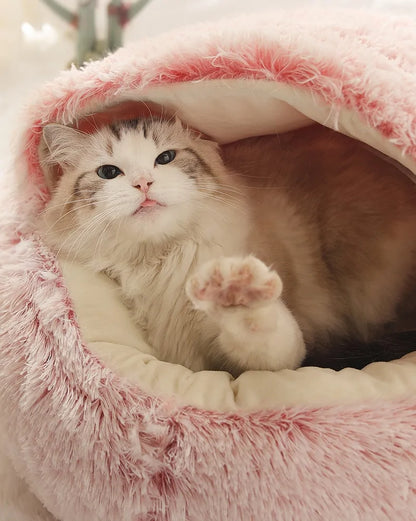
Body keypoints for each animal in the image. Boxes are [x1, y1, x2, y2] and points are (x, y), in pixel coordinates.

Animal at [38, 117, 416, 374]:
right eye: (108, 173)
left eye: (166, 158)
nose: (143, 184)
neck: (162, 260)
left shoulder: (275, 356)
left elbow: (262, 330)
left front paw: (236, 289)